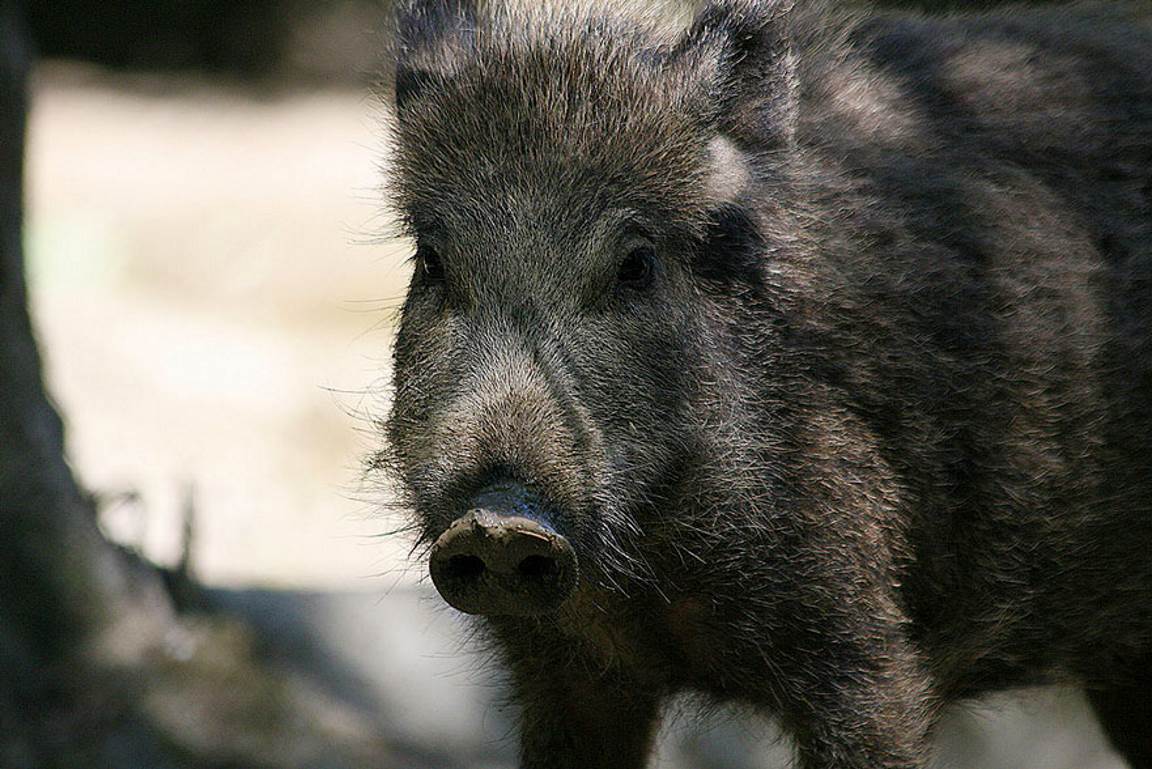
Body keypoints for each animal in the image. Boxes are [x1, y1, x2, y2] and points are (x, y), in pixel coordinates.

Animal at [377, 1, 1152, 767]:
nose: (497, 524)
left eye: (637, 264)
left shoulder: (865, 644)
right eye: (432, 262)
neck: (652, 583)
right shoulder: (563, 667)